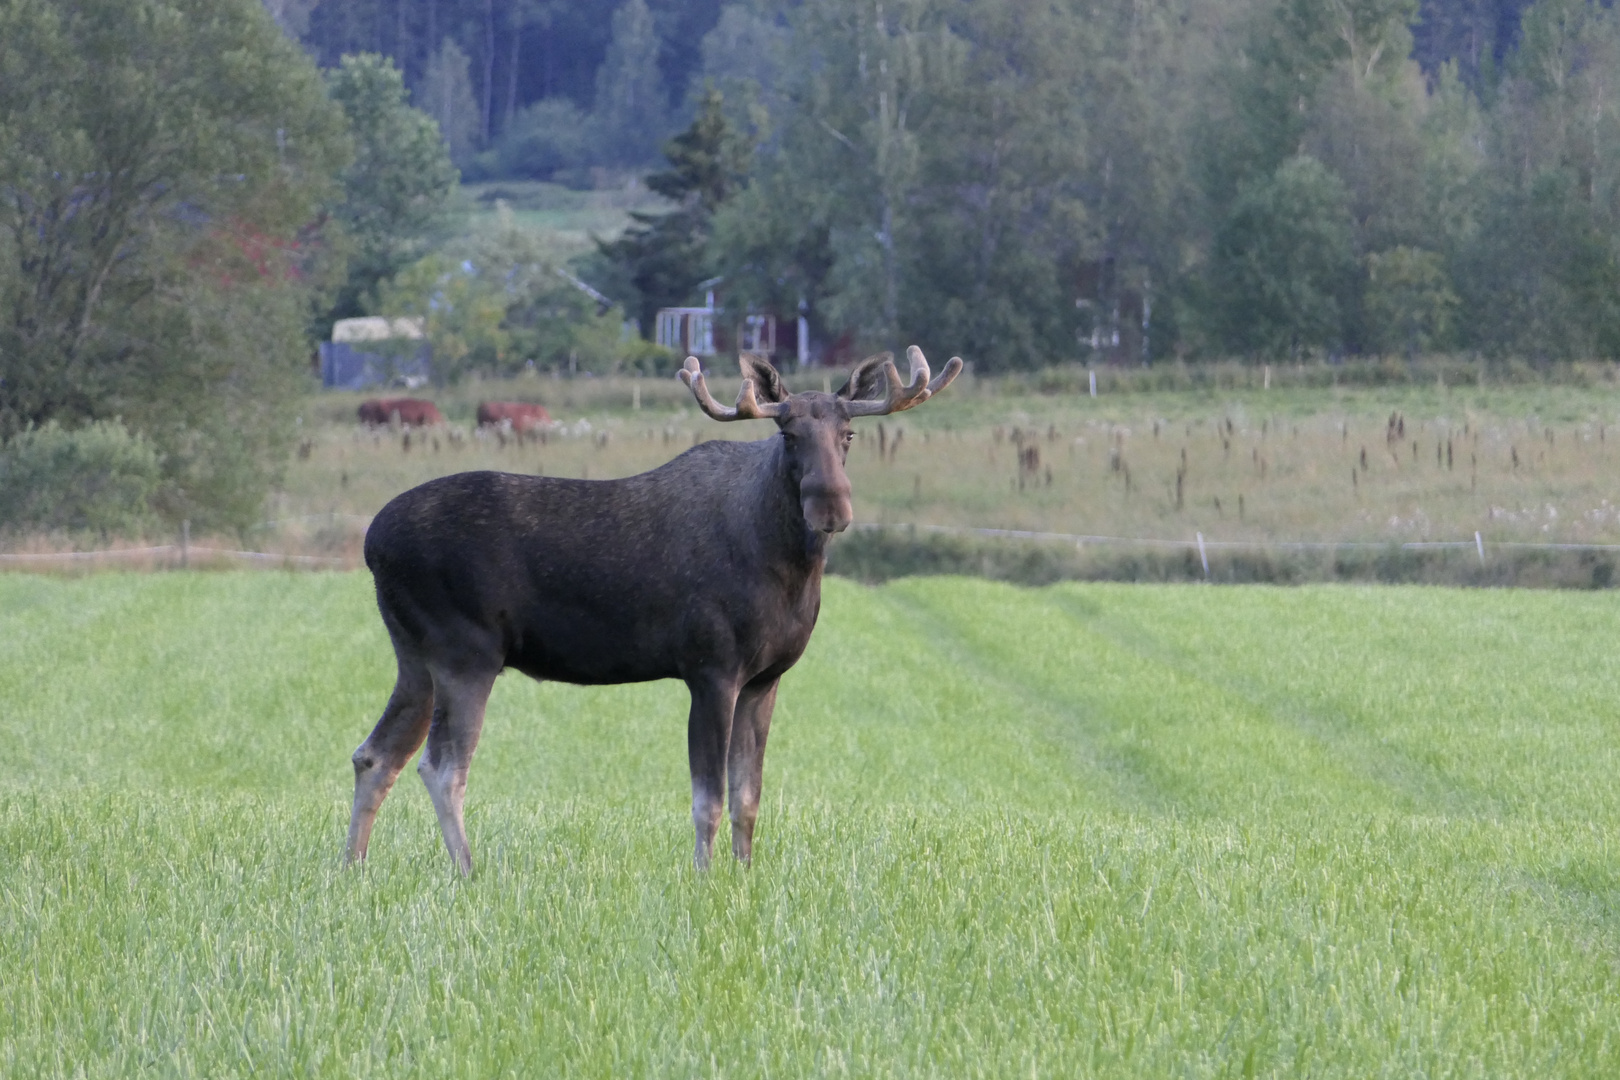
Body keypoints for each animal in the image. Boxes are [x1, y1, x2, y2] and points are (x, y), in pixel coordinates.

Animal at [345, 351, 959, 874]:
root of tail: (372, 542)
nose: (832, 504)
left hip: (414, 655)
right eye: (787, 434)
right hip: (465, 651)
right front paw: (705, 878)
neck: (787, 568)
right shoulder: (710, 667)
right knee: (441, 765)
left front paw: (745, 875)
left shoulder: (766, 678)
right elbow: (708, 798)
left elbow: (748, 797)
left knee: (375, 755)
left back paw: (352, 867)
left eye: (848, 433)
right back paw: (468, 872)